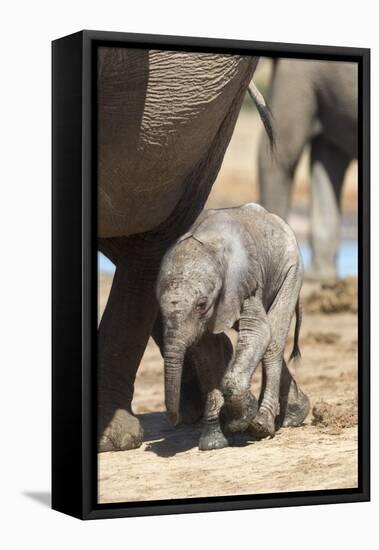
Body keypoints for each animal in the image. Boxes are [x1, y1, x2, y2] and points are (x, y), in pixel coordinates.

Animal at [156, 205, 310, 450]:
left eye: (201, 305)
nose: (174, 421)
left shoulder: (243, 281)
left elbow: (258, 331)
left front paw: (240, 420)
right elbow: (206, 352)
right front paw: (214, 442)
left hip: (291, 269)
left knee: (273, 342)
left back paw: (262, 425)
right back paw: (295, 414)